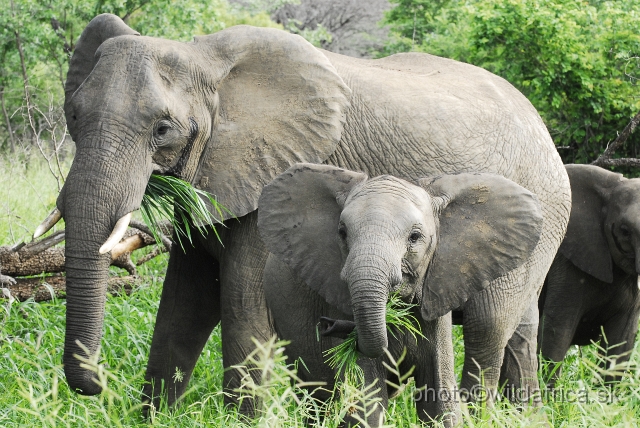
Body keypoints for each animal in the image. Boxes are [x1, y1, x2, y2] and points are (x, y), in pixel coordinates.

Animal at [258, 163, 544, 424]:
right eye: (342, 233)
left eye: (415, 237)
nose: (329, 326)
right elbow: (369, 402)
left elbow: (439, 402)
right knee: (319, 393)